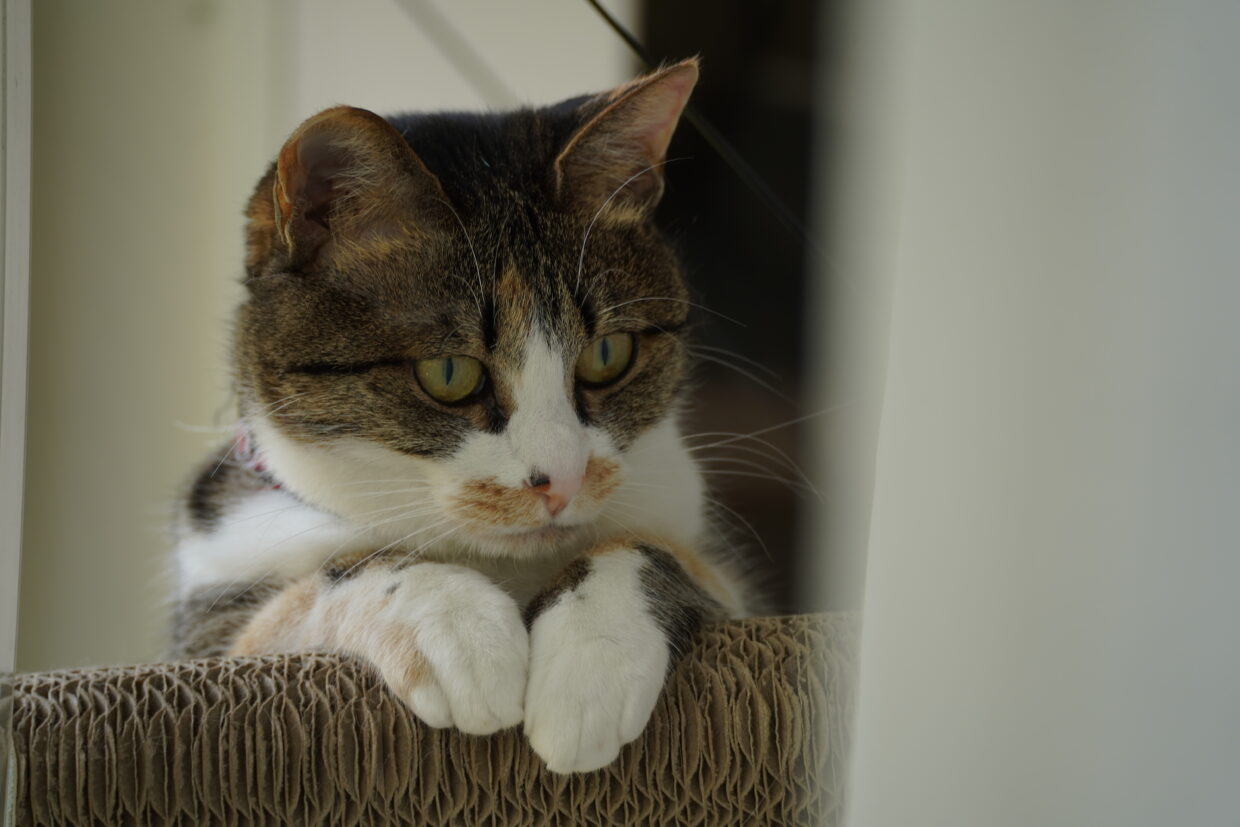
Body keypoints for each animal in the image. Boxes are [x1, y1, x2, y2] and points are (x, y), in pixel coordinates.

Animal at [169, 59, 748, 778]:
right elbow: (317, 583)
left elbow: (660, 552)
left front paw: (593, 655)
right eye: (449, 373)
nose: (562, 483)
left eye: (609, 354)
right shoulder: (212, 635)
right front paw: (452, 626)